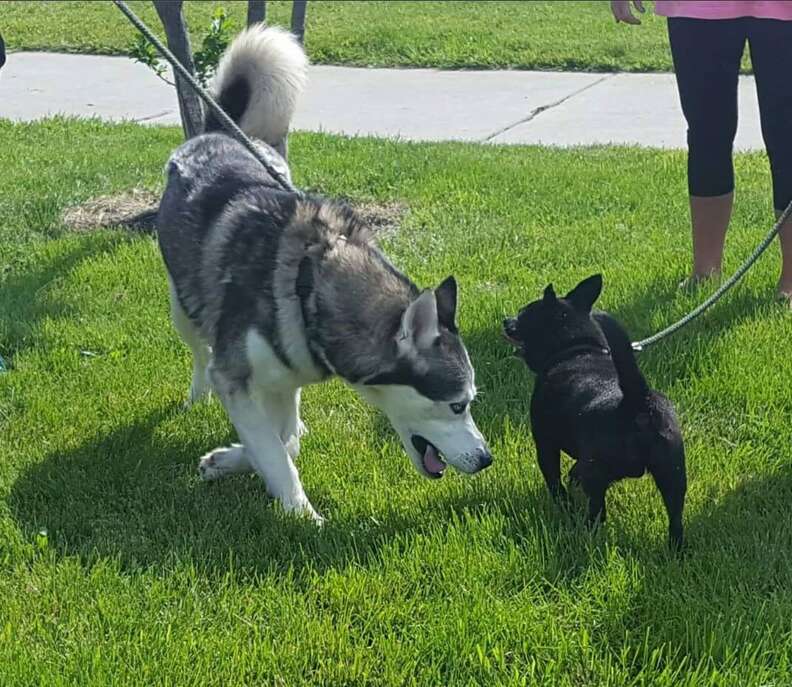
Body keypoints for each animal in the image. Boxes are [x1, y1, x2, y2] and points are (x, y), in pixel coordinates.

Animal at [508, 274, 688, 548]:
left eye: (522, 315)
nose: (506, 321)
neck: (578, 349)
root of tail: (638, 401)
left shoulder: (545, 444)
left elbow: (553, 480)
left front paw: (564, 504)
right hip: (673, 472)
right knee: (676, 518)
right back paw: (676, 548)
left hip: (598, 474)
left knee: (597, 511)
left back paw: (582, 530)